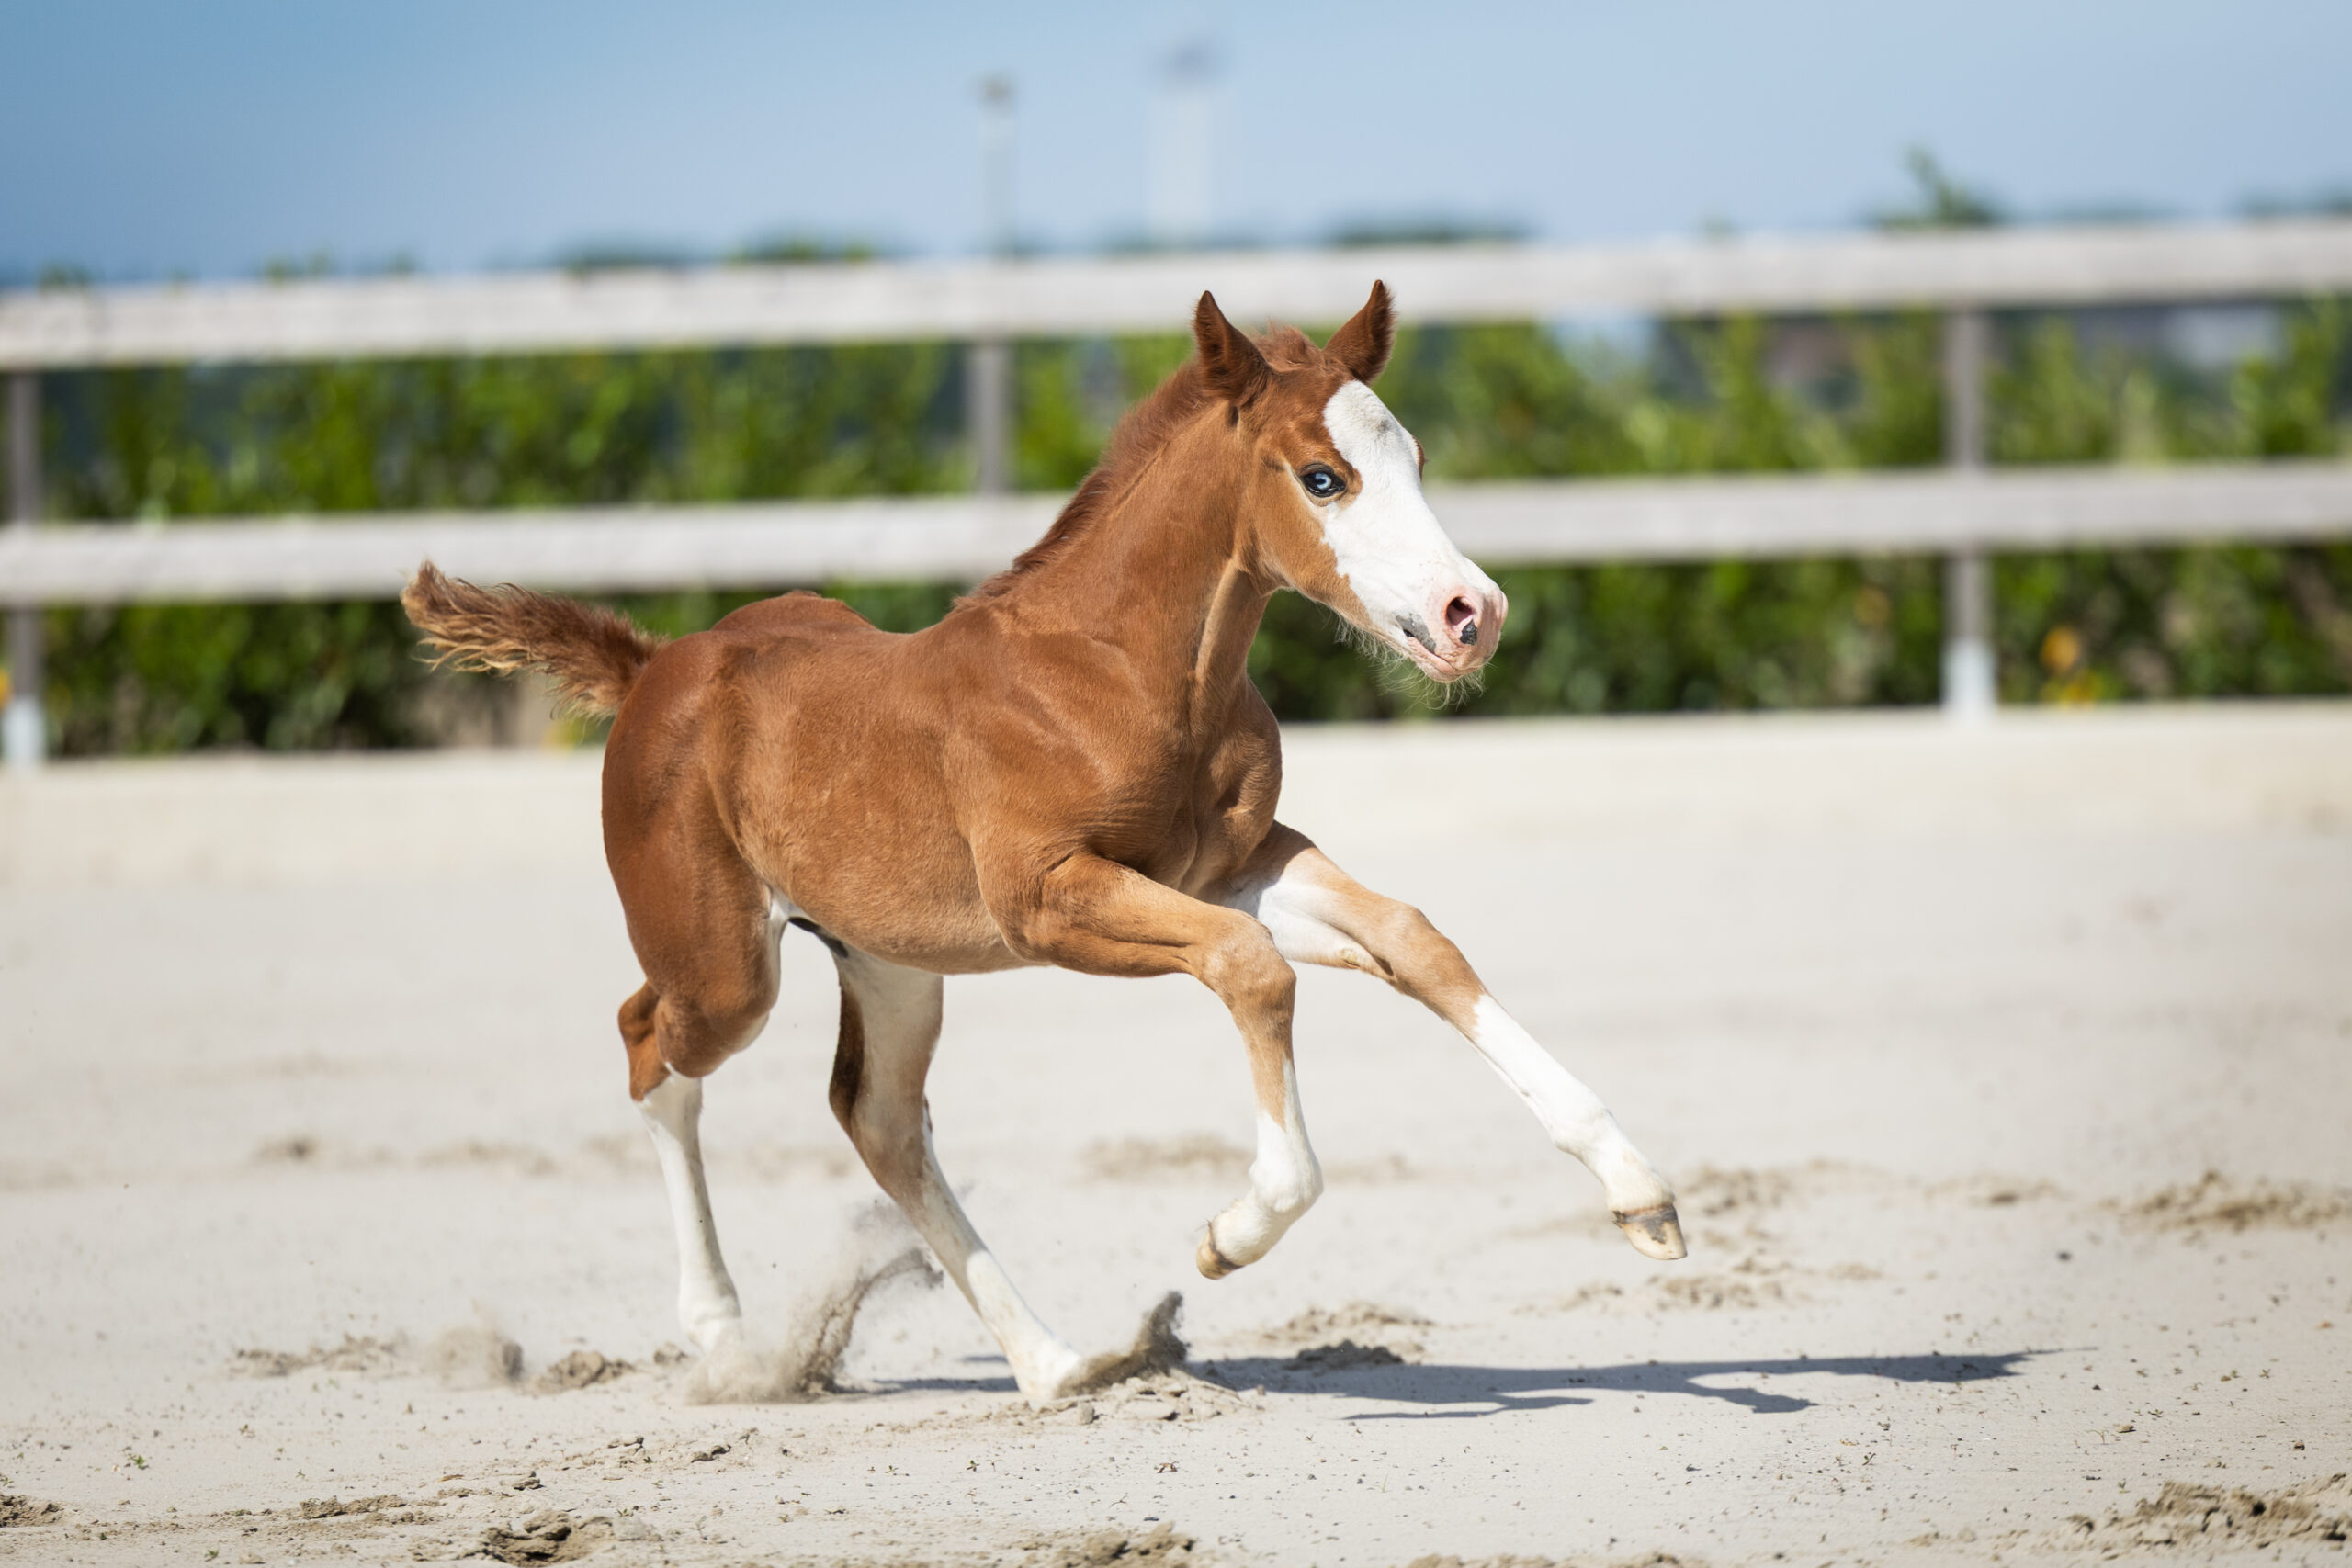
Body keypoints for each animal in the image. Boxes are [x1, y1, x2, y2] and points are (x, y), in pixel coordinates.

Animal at [401, 282, 1685, 1404]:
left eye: (1413, 459)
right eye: (1323, 477)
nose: (1475, 615)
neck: (1123, 671)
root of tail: (652, 668)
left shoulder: (1238, 863)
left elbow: (1412, 940)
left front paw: (1639, 1194)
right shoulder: (1052, 901)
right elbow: (1252, 971)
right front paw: (1232, 1231)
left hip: (892, 962)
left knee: (876, 1117)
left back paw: (1057, 1366)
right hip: (726, 970)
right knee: (651, 1044)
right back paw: (724, 1340)